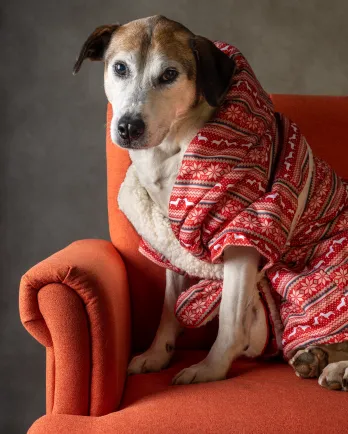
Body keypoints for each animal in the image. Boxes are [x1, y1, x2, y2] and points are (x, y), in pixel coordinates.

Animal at [74, 15, 348, 388]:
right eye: (119, 67)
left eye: (169, 74)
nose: (129, 126)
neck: (171, 150)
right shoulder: (171, 239)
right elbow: (168, 309)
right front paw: (157, 354)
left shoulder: (242, 238)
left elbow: (230, 322)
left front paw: (209, 369)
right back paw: (316, 358)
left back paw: (336, 369)